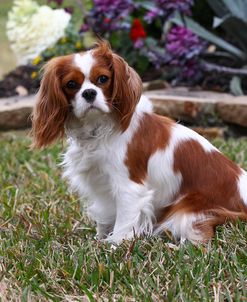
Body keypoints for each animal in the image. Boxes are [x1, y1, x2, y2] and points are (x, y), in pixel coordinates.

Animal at [32, 41, 247, 244]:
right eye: (71, 84)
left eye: (102, 79)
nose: (89, 93)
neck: (98, 129)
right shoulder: (101, 186)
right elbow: (105, 216)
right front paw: (99, 239)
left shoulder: (128, 187)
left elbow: (123, 223)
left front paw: (114, 247)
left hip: (186, 211)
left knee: (199, 237)